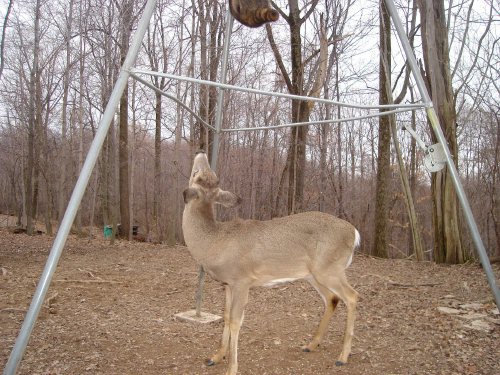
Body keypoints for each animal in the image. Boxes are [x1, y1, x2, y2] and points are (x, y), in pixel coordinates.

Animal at [184, 151, 360, 374]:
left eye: (195, 174)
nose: (202, 154)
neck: (214, 241)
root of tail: (354, 233)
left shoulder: (242, 280)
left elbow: (235, 321)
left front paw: (232, 367)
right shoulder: (228, 284)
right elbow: (225, 316)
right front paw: (215, 357)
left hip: (331, 269)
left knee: (352, 296)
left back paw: (342, 357)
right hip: (314, 274)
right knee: (332, 298)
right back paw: (311, 344)